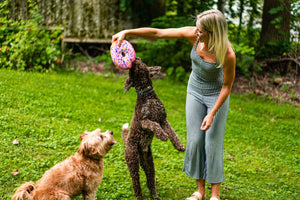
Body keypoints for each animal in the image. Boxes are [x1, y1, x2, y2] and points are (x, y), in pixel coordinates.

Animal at [122, 57, 185, 199]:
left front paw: (179, 146)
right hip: (133, 161)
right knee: (136, 184)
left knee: (150, 181)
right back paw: (140, 196)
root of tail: (126, 144)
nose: (135, 58)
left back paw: (155, 196)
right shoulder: (144, 121)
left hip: (149, 164)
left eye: (142, 62)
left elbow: (173, 133)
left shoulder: (163, 119)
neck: (147, 94)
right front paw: (162, 135)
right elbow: (154, 125)